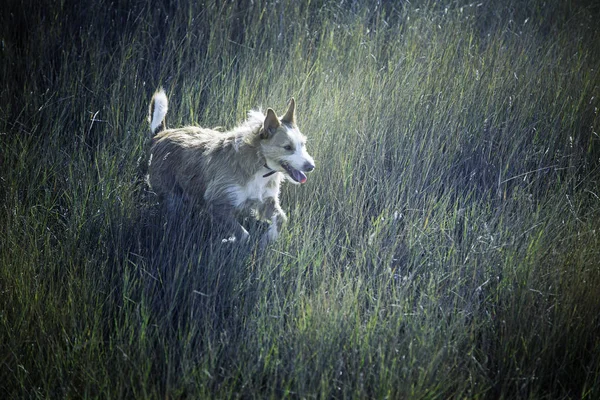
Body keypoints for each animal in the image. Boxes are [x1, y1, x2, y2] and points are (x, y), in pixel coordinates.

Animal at [146, 89, 314, 247]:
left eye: (302, 144)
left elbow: (281, 219)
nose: (311, 166)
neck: (259, 163)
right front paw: (232, 241)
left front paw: (268, 238)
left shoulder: (265, 200)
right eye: (288, 147)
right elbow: (243, 234)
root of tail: (162, 134)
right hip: (171, 196)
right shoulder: (217, 203)